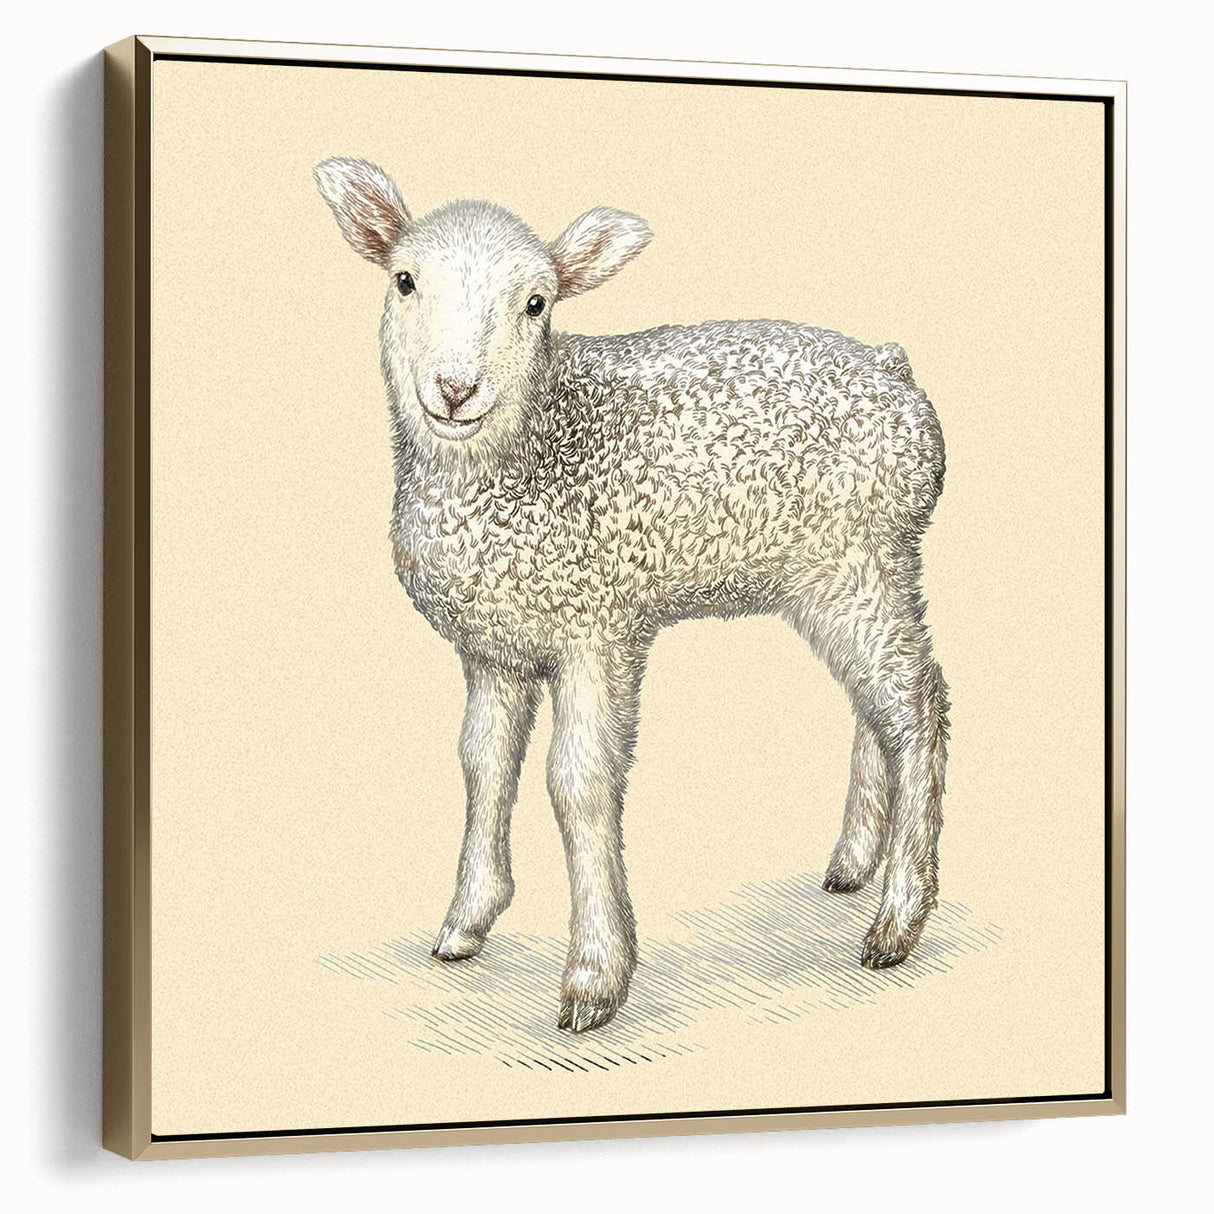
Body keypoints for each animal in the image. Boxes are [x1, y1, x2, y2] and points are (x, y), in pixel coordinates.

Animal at [314, 157, 950, 1034]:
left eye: (537, 303)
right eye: (404, 280)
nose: (455, 389)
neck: (521, 453)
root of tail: (896, 369)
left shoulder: (598, 627)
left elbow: (577, 785)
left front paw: (594, 978)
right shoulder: (495, 647)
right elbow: (482, 765)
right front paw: (466, 921)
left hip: (862, 561)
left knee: (917, 705)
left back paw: (897, 920)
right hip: (845, 576)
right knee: (876, 704)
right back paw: (855, 863)